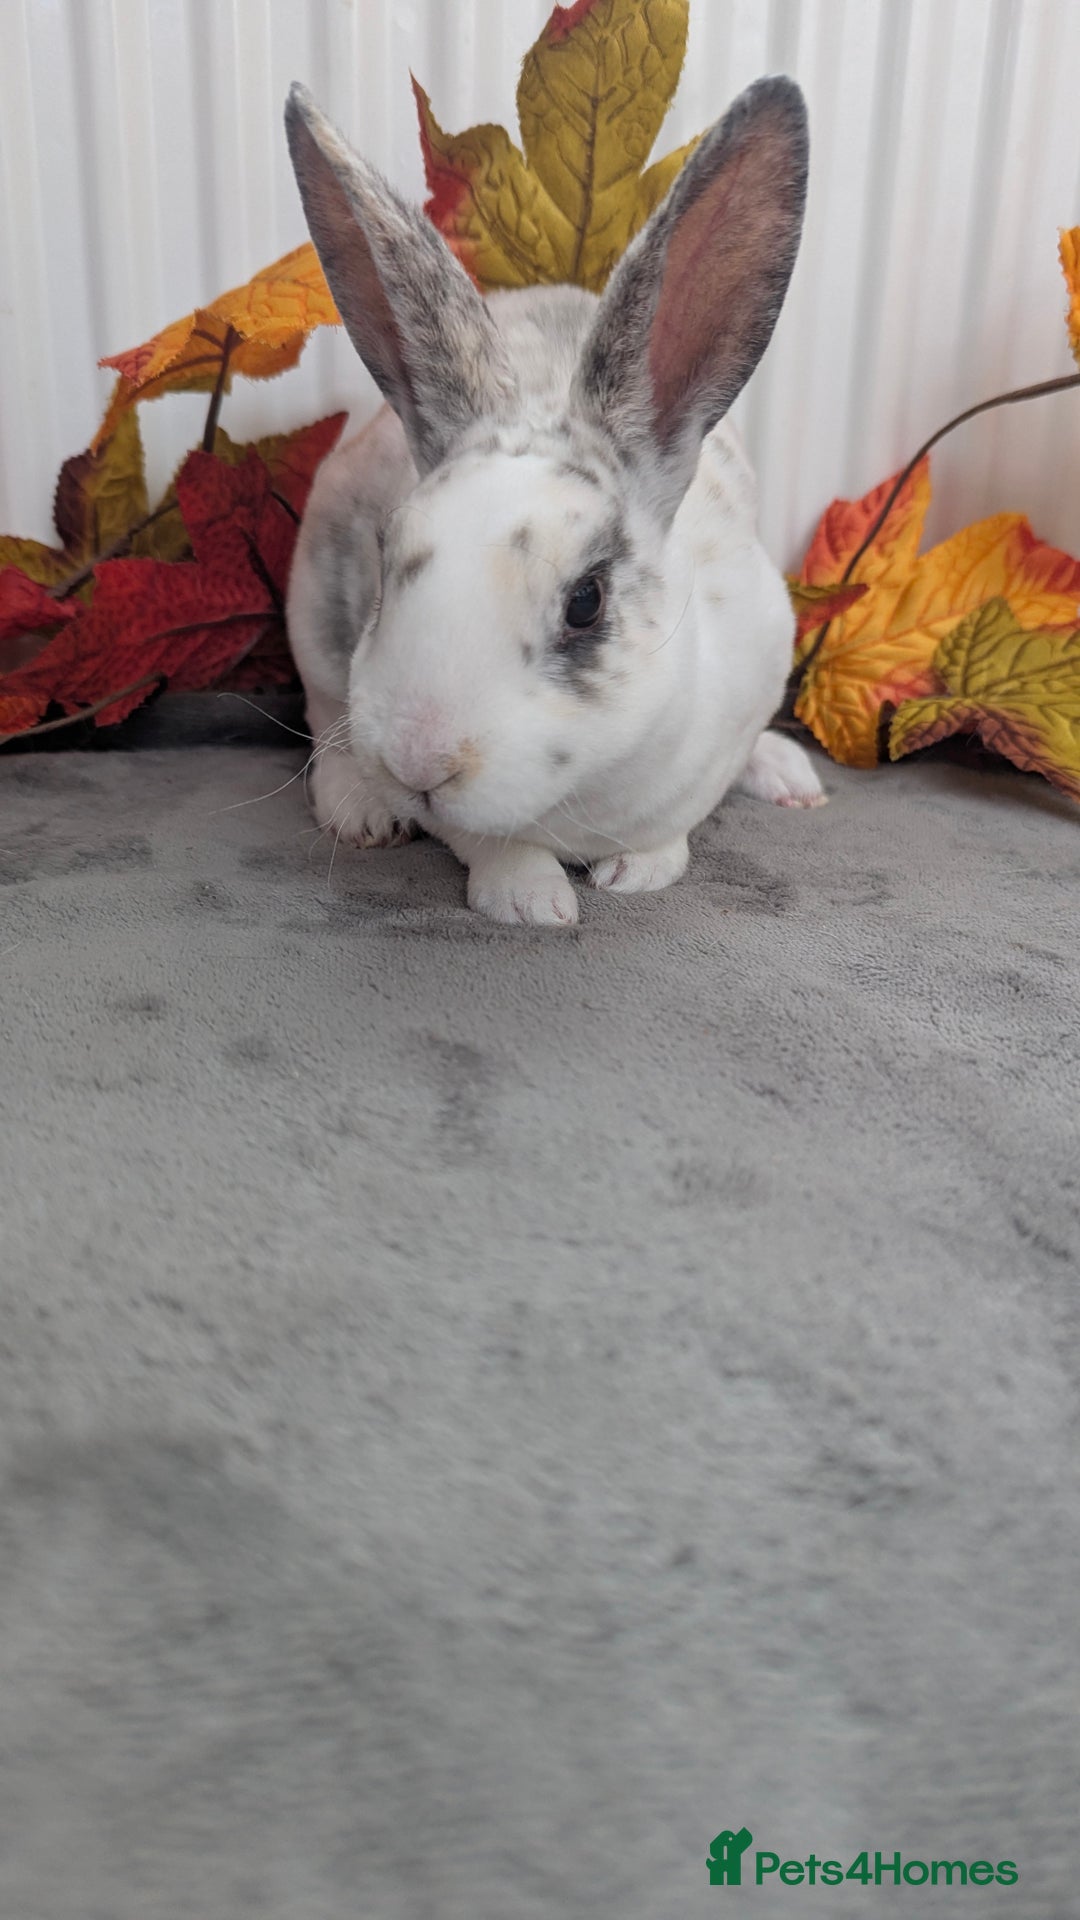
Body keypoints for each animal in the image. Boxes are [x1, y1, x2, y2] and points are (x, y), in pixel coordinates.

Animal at [283, 77, 825, 927]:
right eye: (386, 555)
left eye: (586, 602)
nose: (420, 762)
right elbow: (484, 839)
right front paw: (532, 900)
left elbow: (676, 826)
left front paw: (638, 871)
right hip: (311, 625)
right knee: (322, 719)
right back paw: (361, 812)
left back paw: (790, 778)